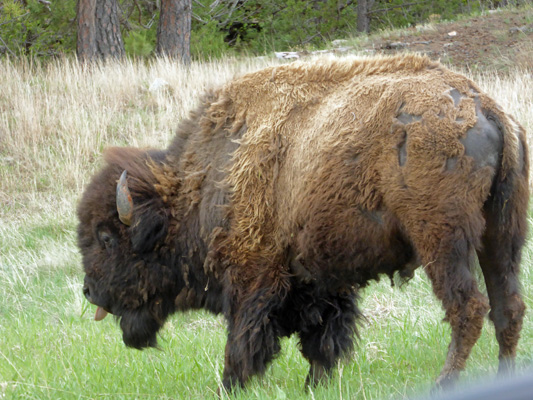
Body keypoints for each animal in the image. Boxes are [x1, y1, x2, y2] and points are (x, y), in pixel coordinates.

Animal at [78, 54, 528, 392]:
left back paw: (444, 382)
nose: (88, 291)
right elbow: (323, 339)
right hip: (502, 233)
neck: (205, 178)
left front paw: (230, 385)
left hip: (443, 239)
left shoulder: (253, 276)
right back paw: (503, 377)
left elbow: (243, 339)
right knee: (508, 306)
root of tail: (486, 107)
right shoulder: (321, 280)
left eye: (107, 237)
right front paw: (315, 384)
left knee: (468, 307)